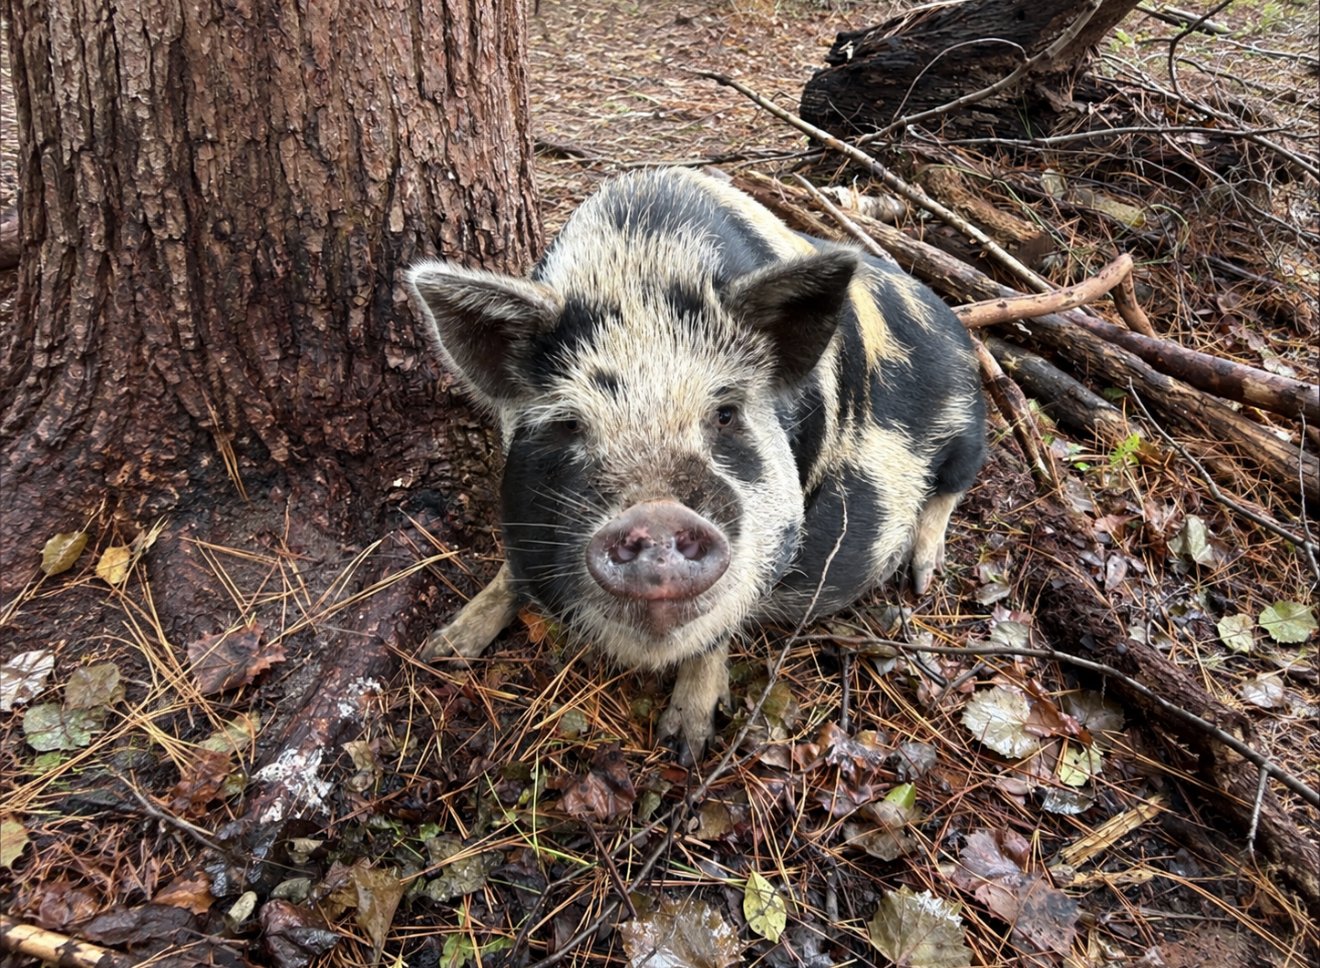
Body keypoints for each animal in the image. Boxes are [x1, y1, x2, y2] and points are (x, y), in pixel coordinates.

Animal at [407, 167, 985, 760]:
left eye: (725, 414)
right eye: (568, 424)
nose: (657, 514)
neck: (639, 260)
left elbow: (720, 626)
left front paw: (685, 744)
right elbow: (510, 572)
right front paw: (441, 649)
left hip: (966, 420)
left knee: (956, 482)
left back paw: (921, 577)